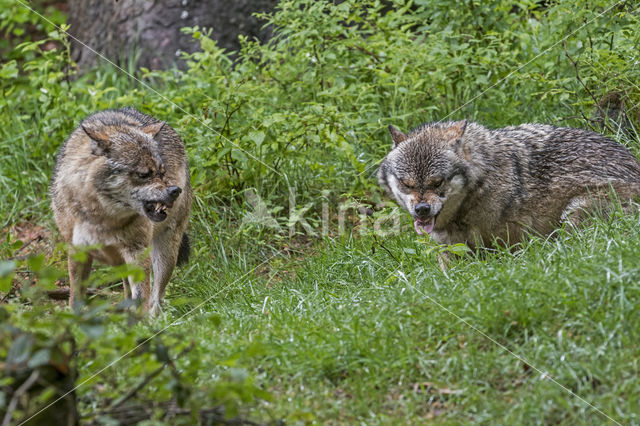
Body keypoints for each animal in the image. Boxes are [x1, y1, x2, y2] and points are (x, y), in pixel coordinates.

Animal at [51, 108, 191, 314]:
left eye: (162, 172)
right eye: (143, 175)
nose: (175, 191)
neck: (103, 219)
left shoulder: (137, 252)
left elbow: (141, 298)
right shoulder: (78, 251)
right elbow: (75, 297)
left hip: (165, 253)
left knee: (156, 298)